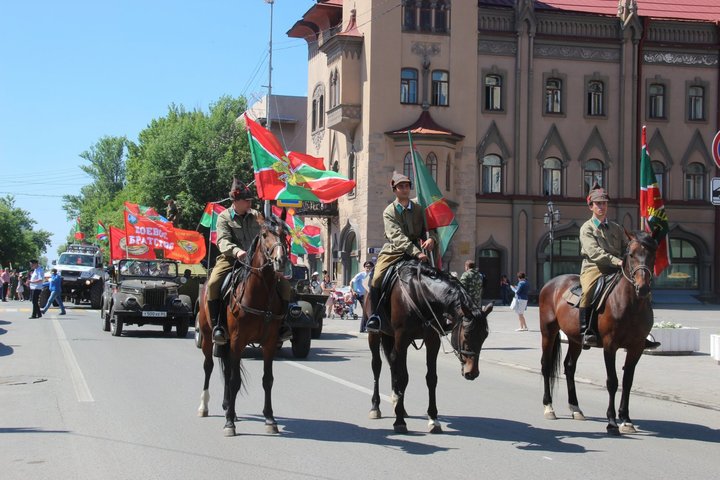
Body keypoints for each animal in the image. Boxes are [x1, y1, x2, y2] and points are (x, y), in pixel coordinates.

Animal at [197, 209, 290, 436]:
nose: (280, 260)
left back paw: (227, 406)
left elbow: (267, 380)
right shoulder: (238, 341)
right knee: (209, 366)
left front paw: (270, 419)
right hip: (207, 337)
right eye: (264, 234)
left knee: (226, 369)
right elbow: (234, 380)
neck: (260, 293)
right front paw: (229, 423)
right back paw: (205, 406)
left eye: (285, 234)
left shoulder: (269, 344)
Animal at [366, 260, 490, 434]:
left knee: (393, 365)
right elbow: (403, 377)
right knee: (377, 366)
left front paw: (433, 419)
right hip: (375, 334)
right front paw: (399, 422)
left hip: (390, 336)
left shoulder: (432, 340)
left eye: (485, 336)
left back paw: (398, 402)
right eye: (466, 335)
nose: (472, 372)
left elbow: (431, 378)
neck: (419, 294)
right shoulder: (402, 339)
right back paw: (375, 407)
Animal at [540, 230, 660, 436]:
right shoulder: (610, 346)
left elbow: (627, 381)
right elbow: (612, 381)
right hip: (548, 332)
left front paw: (626, 419)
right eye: (631, 254)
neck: (631, 305)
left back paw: (576, 408)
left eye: (652, 254)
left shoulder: (636, 347)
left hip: (575, 340)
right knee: (546, 366)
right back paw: (549, 407)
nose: (643, 287)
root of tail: (552, 282)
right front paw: (611, 422)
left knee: (569, 367)